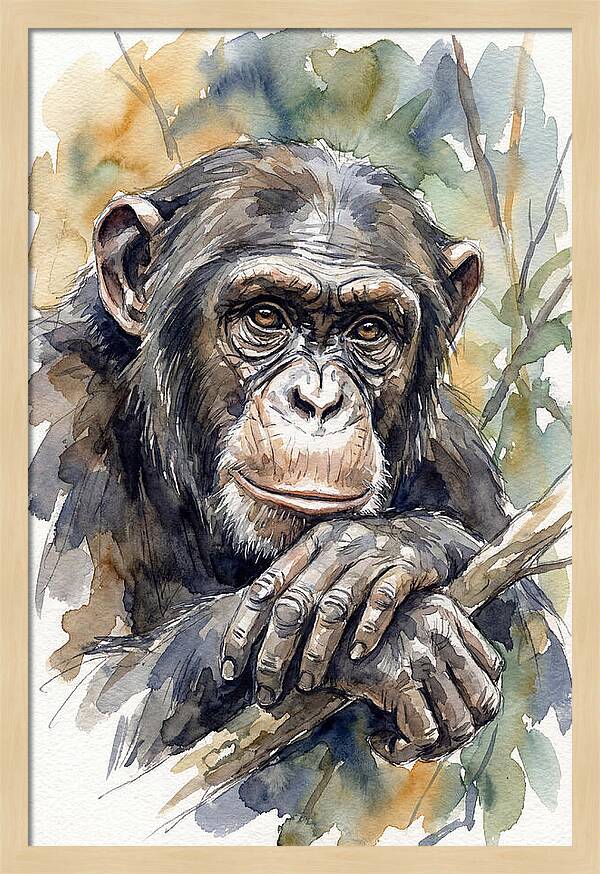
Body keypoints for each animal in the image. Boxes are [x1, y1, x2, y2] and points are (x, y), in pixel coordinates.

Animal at [30, 139, 548, 772]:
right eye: (266, 316)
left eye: (369, 329)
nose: (319, 400)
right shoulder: (54, 417)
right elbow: (75, 700)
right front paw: (407, 639)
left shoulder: (455, 455)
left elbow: (543, 645)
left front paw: (383, 548)